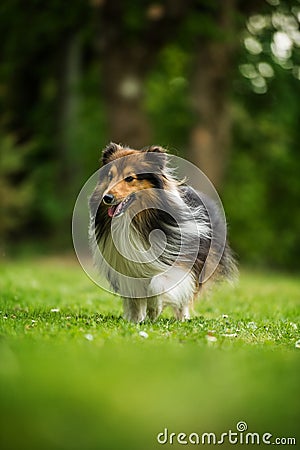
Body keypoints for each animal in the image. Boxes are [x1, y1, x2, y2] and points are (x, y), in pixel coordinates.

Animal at [89, 142, 237, 322]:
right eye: (110, 176)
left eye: (130, 178)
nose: (107, 198)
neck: (135, 220)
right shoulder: (127, 269)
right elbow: (135, 300)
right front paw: (135, 320)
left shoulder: (178, 263)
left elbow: (157, 285)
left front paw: (154, 310)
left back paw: (182, 318)